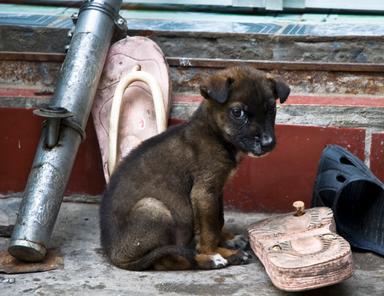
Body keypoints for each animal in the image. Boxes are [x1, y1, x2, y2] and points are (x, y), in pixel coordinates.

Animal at [100, 66, 290, 270]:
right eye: (237, 112)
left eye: (272, 109)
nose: (268, 143)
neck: (214, 134)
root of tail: (116, 255)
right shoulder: (204, 190)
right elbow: (210, 230)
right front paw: (214, 251)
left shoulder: (216, 190)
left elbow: (218, 219)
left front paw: (227, 239)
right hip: (153, 208)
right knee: (168, 260)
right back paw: (210, 259)